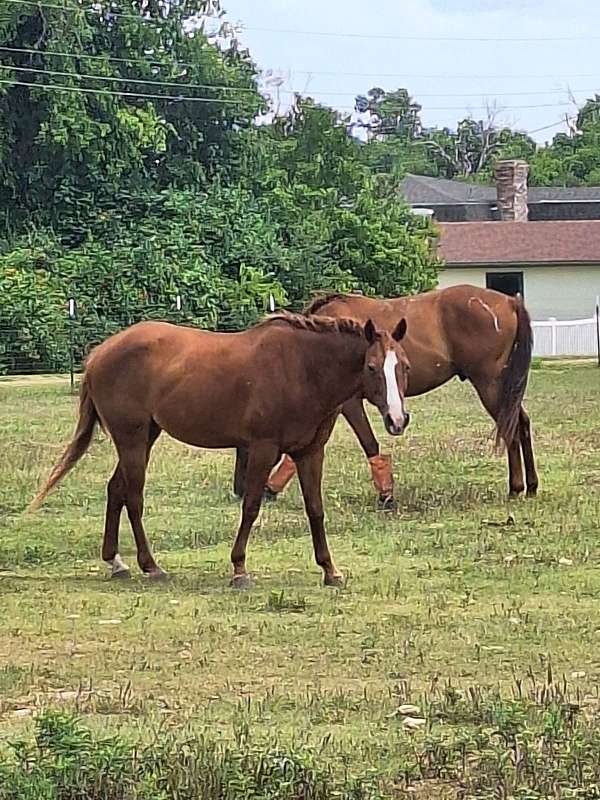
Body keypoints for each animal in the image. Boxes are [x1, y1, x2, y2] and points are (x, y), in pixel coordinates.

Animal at [29, 312, 410, 587]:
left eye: (404, 367)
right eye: (372, 367)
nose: (397, 419)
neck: (302, 368)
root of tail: (99, 354)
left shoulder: (310, 452)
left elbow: (315, 510)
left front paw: (330, 570)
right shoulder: (262, 449)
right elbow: (251, 506)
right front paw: (239, 569)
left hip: (144, 436)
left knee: (116, 490)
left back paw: (116, 562)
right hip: (132, 440)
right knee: (133, 497)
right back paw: (151, 566)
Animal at [234, 285, 537, 509]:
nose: (239, 489)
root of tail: (509, 301)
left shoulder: (347, 404)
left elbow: (369, 442)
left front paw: (386, 494)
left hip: (490, 386)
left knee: (510, 428)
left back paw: (516, 487)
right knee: (521, 424)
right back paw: (531, 486)